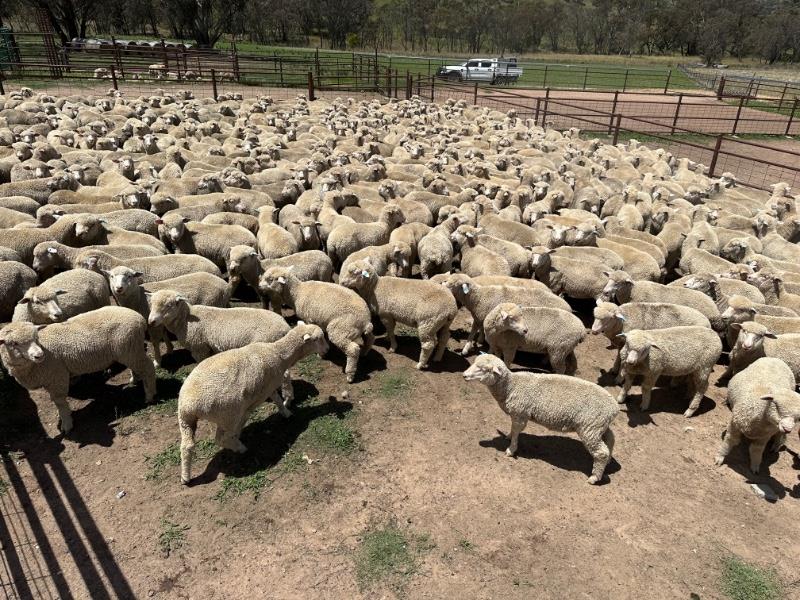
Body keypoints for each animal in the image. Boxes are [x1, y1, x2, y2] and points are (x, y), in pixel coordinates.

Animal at [0, 310, 156, 432]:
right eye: (13, 343)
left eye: (36, 338)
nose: (39, 355)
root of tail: (139, 318)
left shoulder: (57, 376)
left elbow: (60, 402)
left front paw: (66, 424)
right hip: (129, 350)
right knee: (137, 367)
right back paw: (134, 379)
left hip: (130, 347)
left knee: (149, 368)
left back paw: (149, 396)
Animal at [178, 324, 328, 482]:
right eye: (318, 339)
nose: (328, 349)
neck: (278, 353)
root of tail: (189, 405)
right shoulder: (268, 387)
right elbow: (277, 400)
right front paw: (286, 412)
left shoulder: (267, 387)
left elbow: (276, 399)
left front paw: (285, 412)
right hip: (227, 415)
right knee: (221, 438)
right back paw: (240, 447)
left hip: (186, 420)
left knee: (187, 446)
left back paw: (185, 477)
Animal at [462, 354, 620, 486]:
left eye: (483, 369)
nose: (464, 375)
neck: (510, 386)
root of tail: (614, 408)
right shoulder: (517, 414)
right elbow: (513, 429)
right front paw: (508, 436)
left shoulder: (520, 413)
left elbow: (517, 432)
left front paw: (511, 449)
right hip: (599, 426)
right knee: (611, 439)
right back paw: (609, 461)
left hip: (590, 428)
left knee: (601, 452)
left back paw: (594, 477)